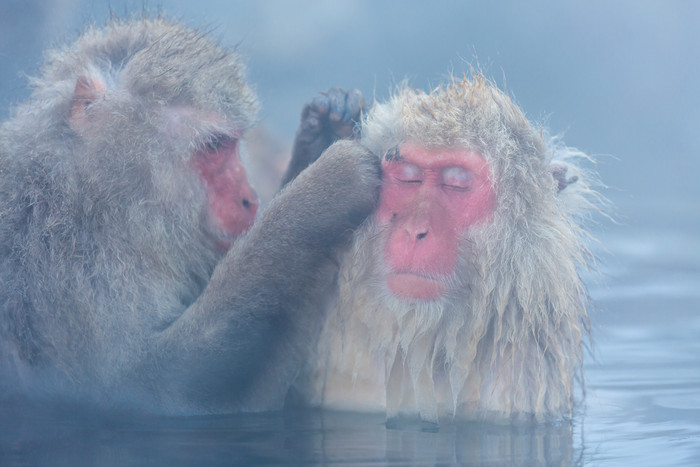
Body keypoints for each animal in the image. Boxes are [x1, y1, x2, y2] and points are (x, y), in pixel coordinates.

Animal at [0, 16, 378, 414]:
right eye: (214, 145)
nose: (250, 198)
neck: (95, 200)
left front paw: (325, 130)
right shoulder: (69, 268)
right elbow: (149, 386)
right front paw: (324, 191)